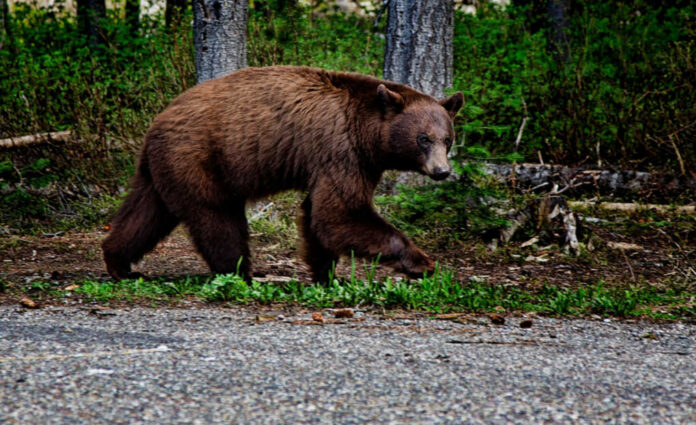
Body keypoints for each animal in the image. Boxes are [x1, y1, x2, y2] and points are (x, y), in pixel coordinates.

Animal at [102, 66, 463, 283]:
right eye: (423, 138)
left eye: (447, 139)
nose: (441, 171)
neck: (366, 131)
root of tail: (156, 123)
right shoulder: (340, 151)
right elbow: (341, 213)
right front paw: (422, 262)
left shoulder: (357, 161)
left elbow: (319, 217)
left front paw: (325, 275)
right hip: (198, 158)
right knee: (217, 217)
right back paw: (240, 273)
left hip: (162, 169)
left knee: (147, 213)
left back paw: (119, 263)